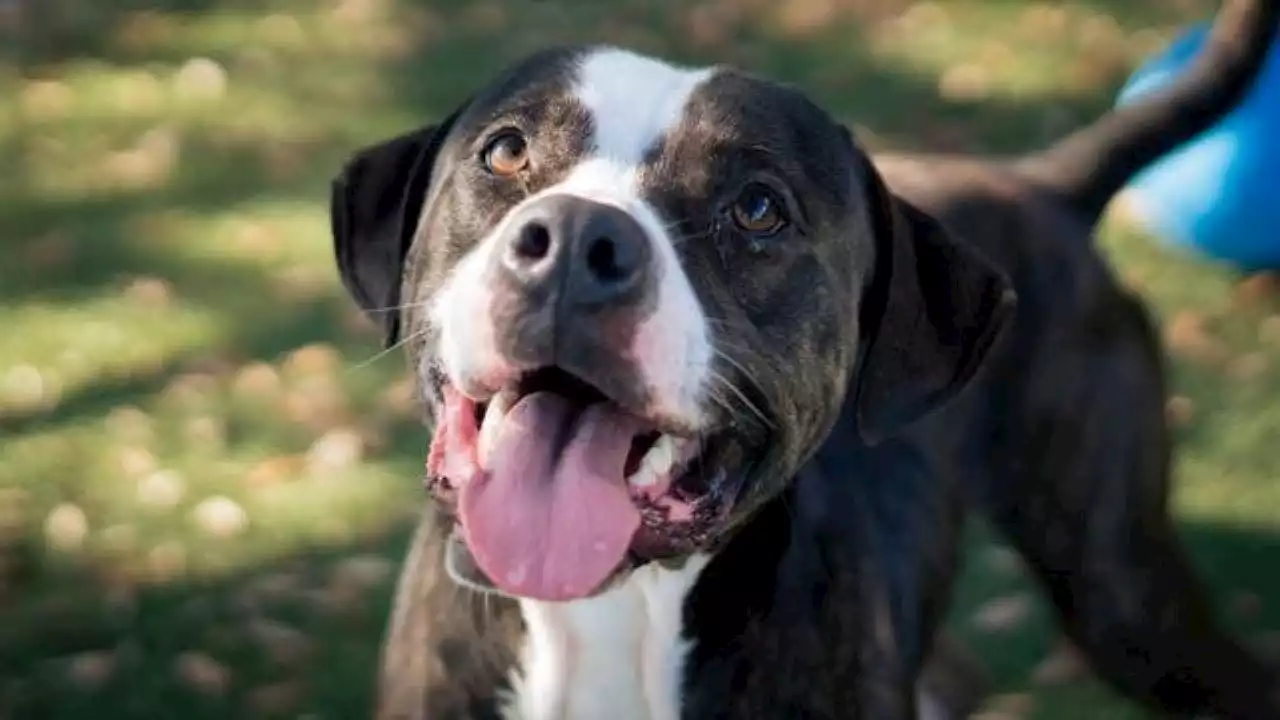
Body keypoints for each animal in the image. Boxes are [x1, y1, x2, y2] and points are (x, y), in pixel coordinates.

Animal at [327, 2, 1280, 712]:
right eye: (505, 152)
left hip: (1123, 590)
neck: (610, 611)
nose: (574, 240)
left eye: (758, 208)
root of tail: (1043, 184)